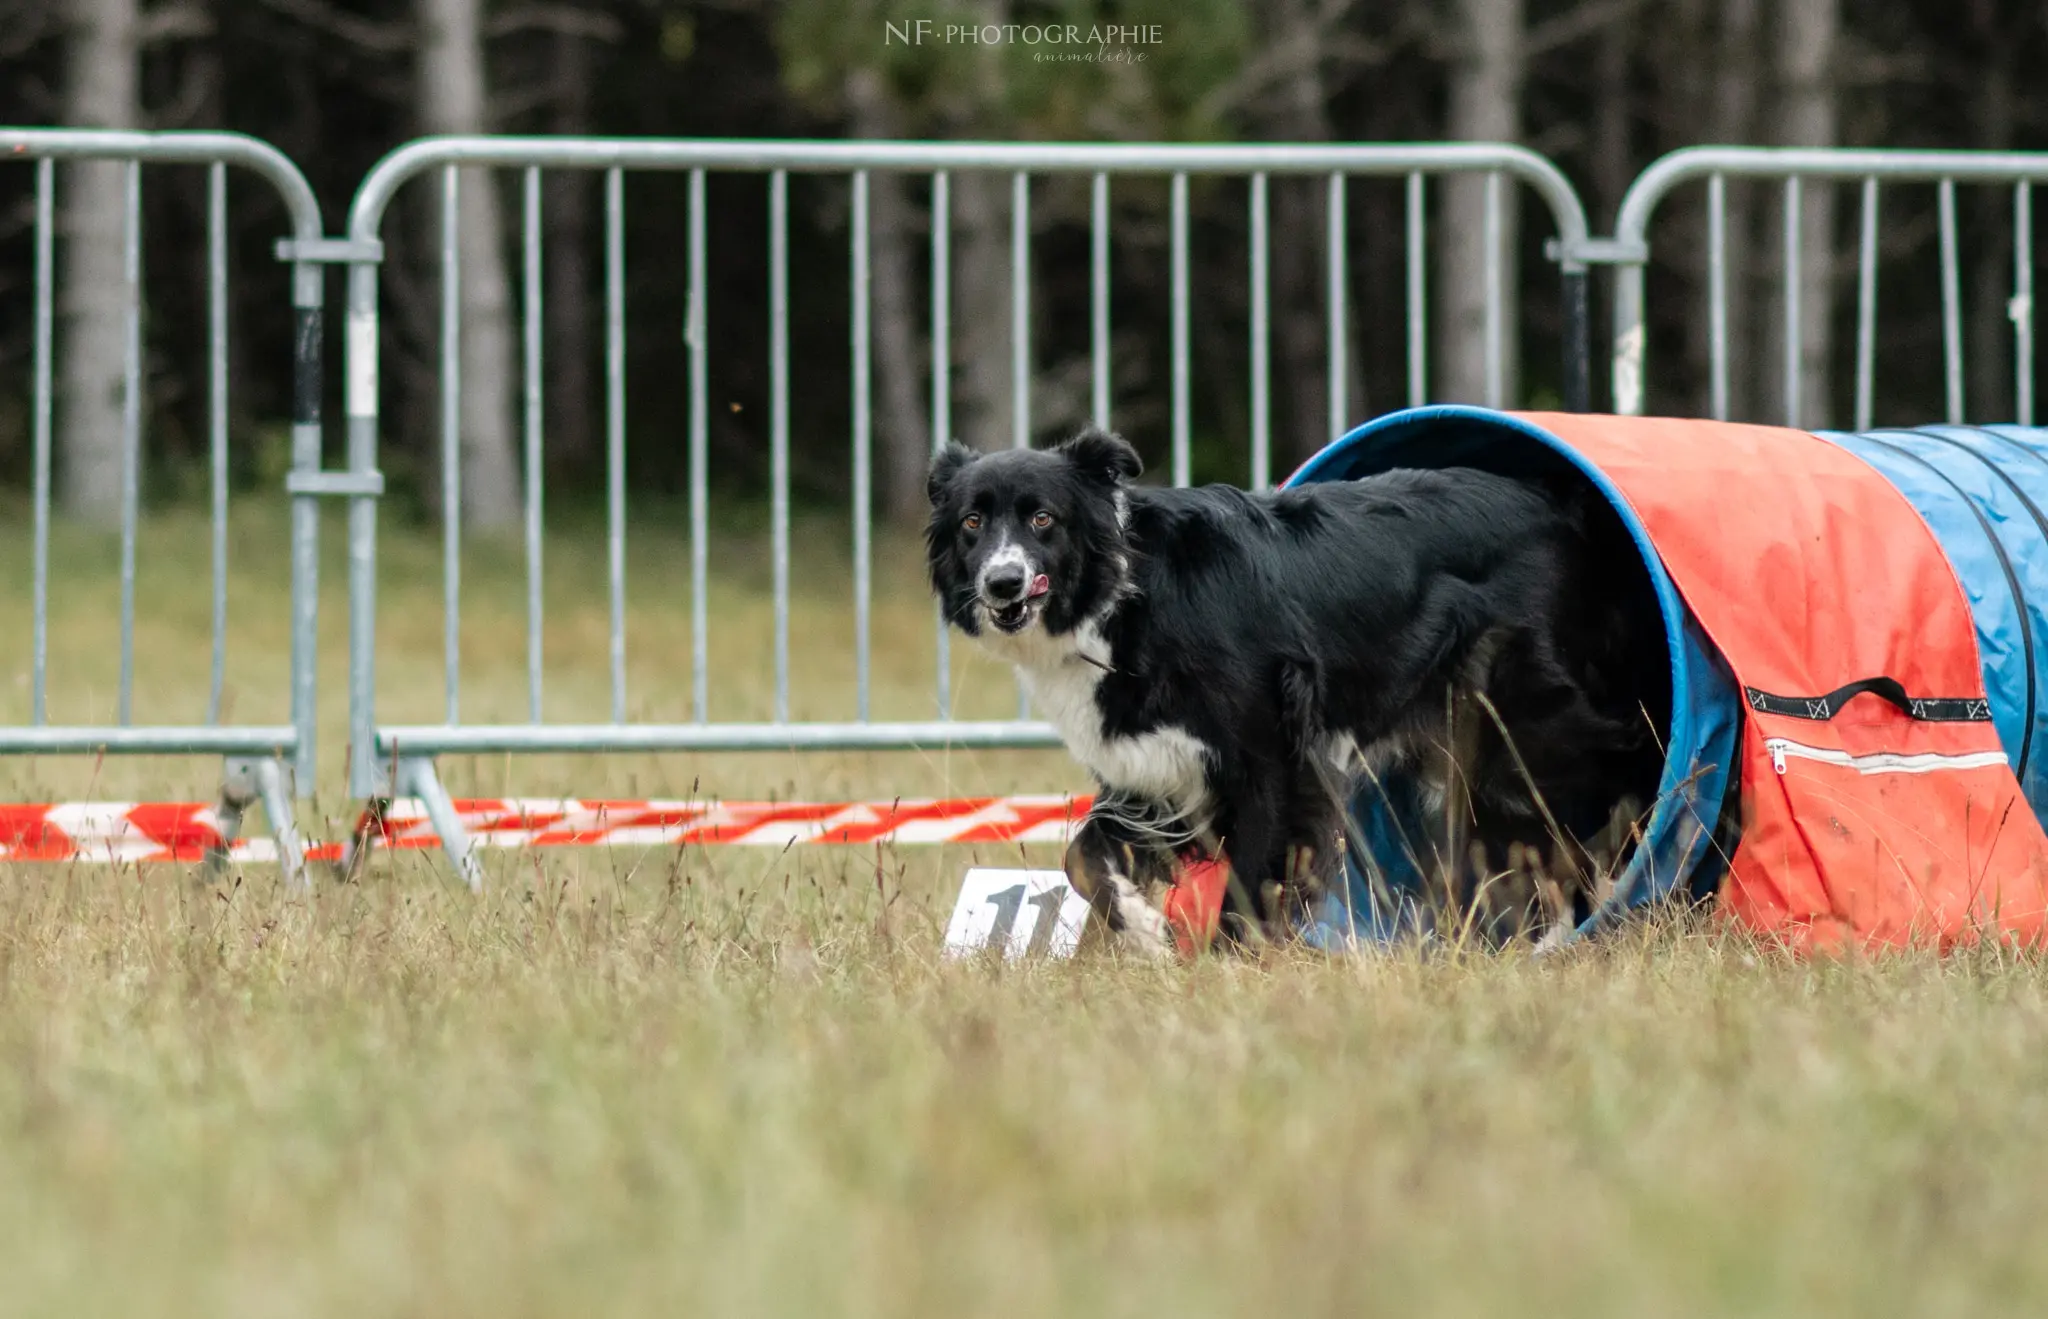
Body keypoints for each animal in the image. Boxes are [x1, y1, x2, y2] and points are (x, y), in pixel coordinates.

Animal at [929, 432, 1662, 958]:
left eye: (1043, 518)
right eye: (971, 522)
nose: (1001, 583)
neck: (1124, 597)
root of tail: (1561, 504)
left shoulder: (1269, 758)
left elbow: (1252, 873)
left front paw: (1229, 963)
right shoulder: (1155, 770)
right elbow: (1081, 855)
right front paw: (1146, 929)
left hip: (1530, 718)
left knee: (1614, 776)